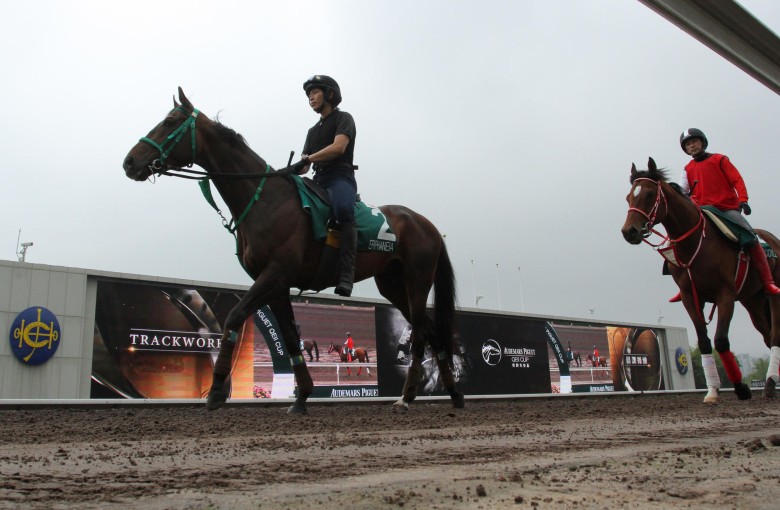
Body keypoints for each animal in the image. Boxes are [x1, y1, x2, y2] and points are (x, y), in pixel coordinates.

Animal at [122, 87, 464, 414]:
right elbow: (288, 338)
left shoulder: (274, 274)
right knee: (431, 331)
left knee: (420, 333)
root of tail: (427, 224)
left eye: (169, 122)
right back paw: (453, 393)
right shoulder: (276, 285)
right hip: (393, 285)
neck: (265, 199)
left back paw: (407, 397)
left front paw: (217, 390)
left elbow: (234, 317)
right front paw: (301, 397)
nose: (129, 162)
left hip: (416, 281)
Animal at [620, 157, 780, 400]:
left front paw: (741, 388)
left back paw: (770, 383)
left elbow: (721, 340)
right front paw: (712, 390)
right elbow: (704, 342)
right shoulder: (690, 296)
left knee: (775, 335)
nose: (629, 231)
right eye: (629, 196)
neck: (697, 243)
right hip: (752, 301)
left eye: (649, 194)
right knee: (766, 335)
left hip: (773, 294)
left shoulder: (725, 293)